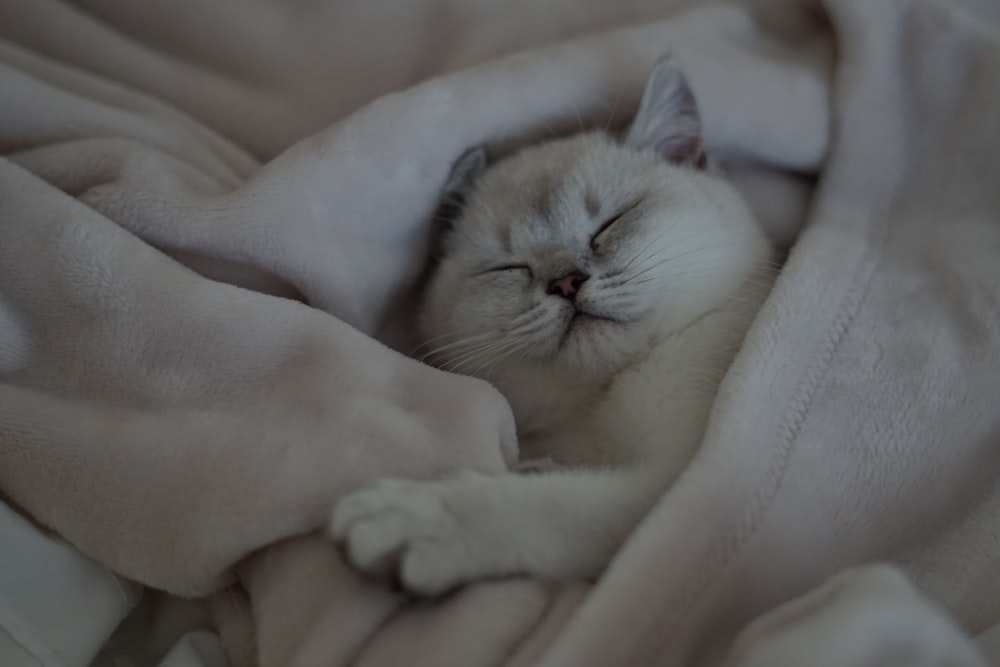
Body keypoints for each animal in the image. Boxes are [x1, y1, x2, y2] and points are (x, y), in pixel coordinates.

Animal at [328, 56, 772, 596]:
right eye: (509, 267)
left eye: (609, 224)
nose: (565, 281)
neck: (595, 405)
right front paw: (531, 468)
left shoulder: (677, 489)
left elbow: (553, 505)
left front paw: (413, 519)